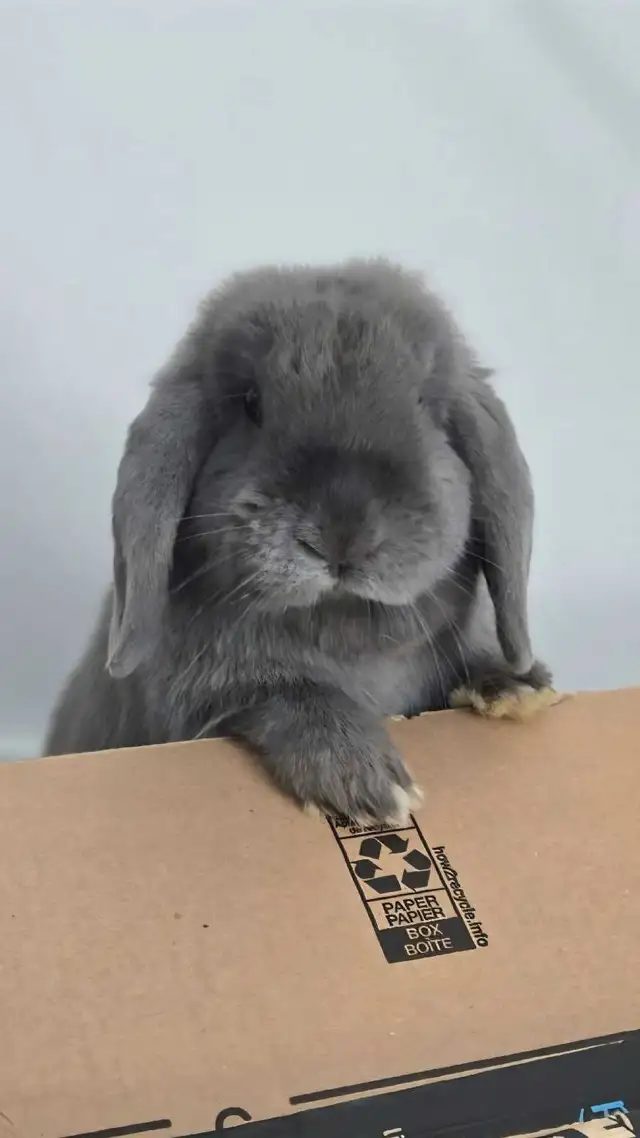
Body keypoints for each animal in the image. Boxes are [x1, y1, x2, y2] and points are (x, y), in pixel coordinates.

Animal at [44, 259, 558, 824]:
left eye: (425, 404)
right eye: (251, 404)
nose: (341, 535)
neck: (342, 626)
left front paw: (518, 687)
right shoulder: (205, 701)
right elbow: (289, 695)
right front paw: (367, 785)